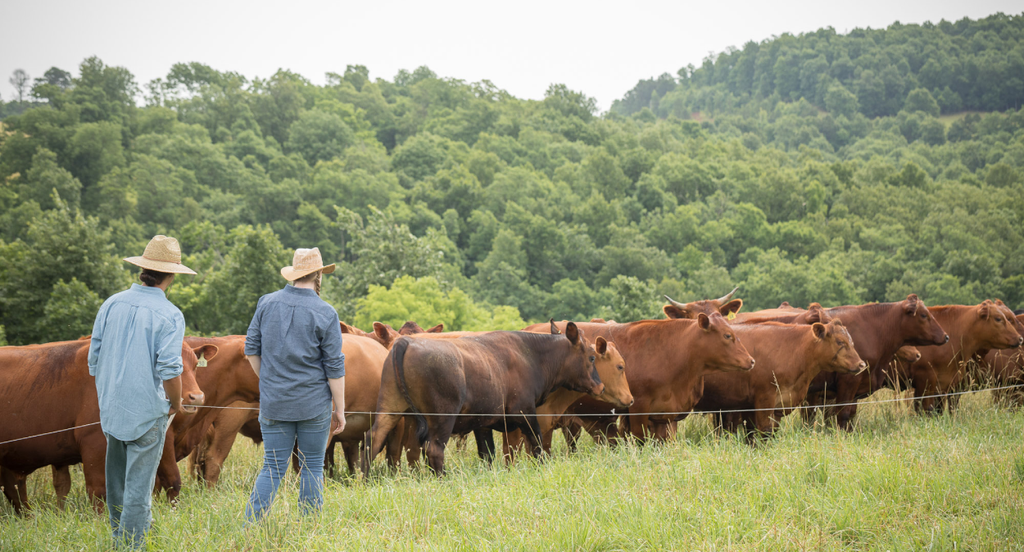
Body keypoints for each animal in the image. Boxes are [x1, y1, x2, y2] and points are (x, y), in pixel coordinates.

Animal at [0, 340, 208, 516]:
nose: (196, 397)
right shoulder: (94, 442)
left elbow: (170, 480)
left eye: (195, 365)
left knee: (15, 493)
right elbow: (99, 490)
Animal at [368, 323, 602, 475]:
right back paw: (443, 478)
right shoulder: (525, 413)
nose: (600, 386)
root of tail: (405, 343)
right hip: (442, 417)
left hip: (390, 408)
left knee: (374, 438)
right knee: (433, 448)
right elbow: (536, 445)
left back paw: (364, 478)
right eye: (592, 357)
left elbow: (487, 453)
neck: (530, 356)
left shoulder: (483, 423)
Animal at [696, 321, 864, 438]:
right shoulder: (764, 399)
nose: (861, 364)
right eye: (840, 342)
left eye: (852, 342)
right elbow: (764, 431)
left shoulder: (777, 405)